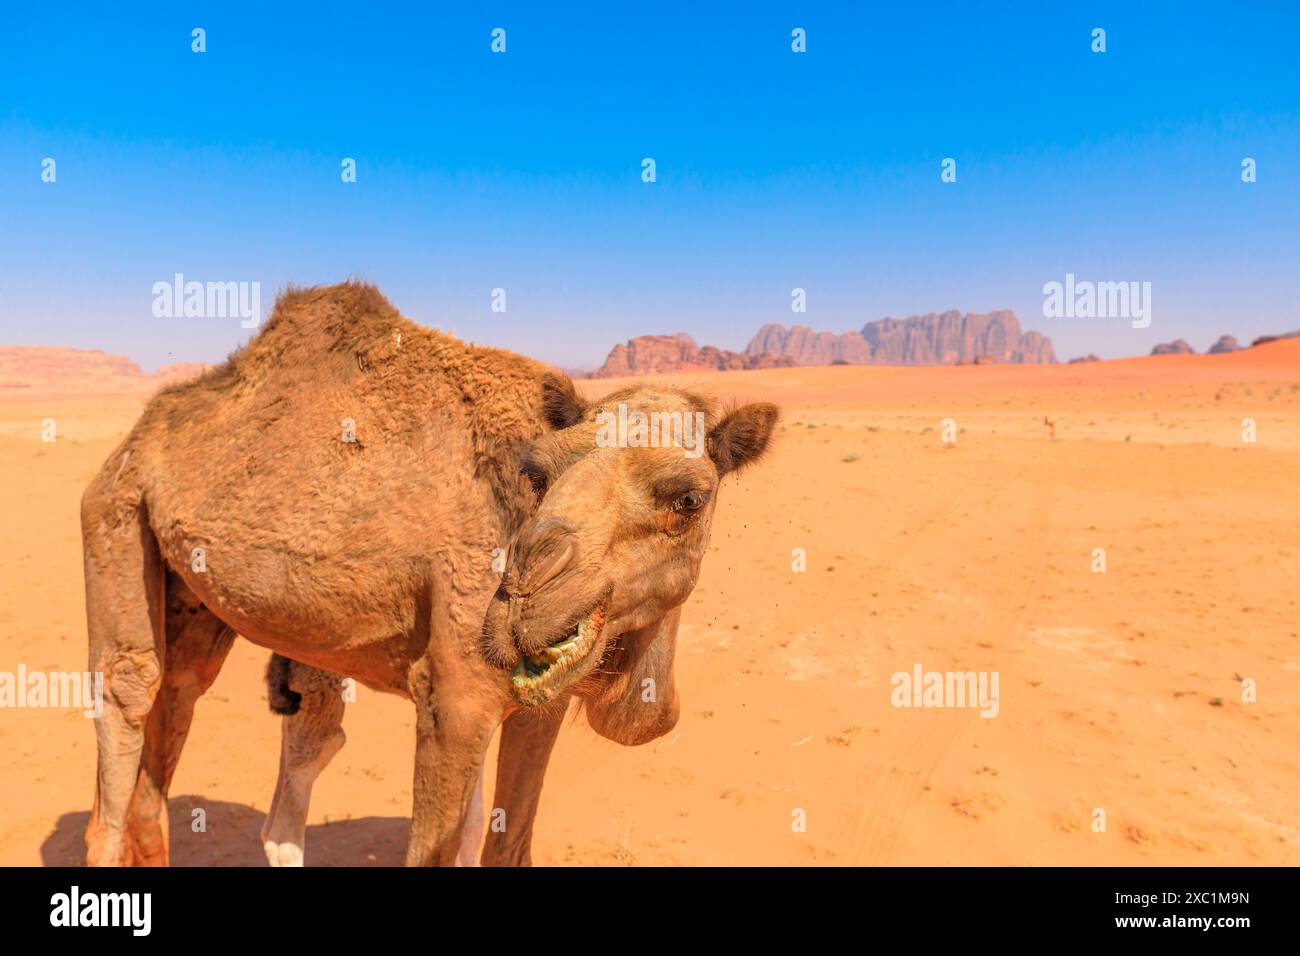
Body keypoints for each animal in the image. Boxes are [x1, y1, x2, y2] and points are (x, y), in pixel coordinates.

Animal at [86, 282, 774, 868]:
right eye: (538, 473)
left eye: (689, 499)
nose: (522, 599)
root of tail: (137, 438)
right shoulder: (455, 699)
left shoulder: (541, 703)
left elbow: (506, 842)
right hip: (116, 515)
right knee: (130, 694)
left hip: (192, 591)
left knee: (185, 696)